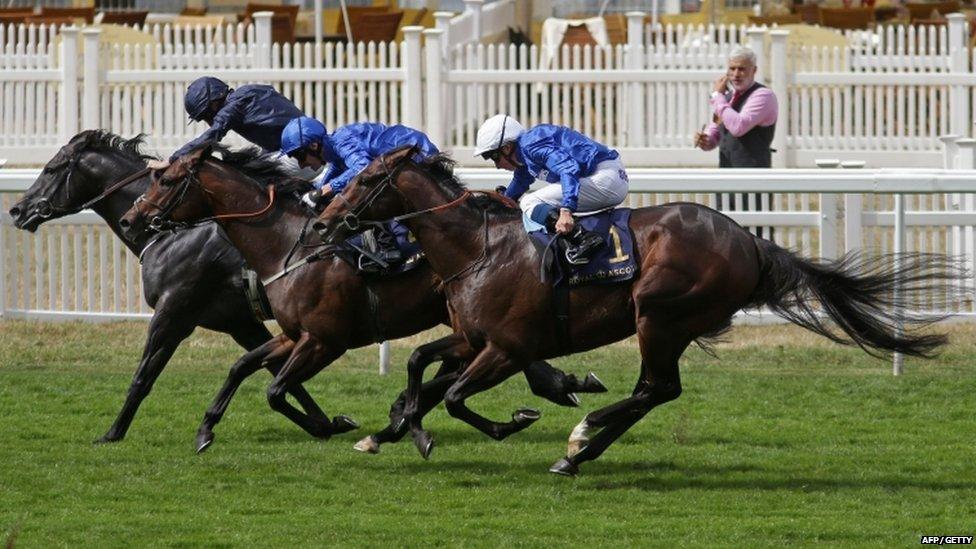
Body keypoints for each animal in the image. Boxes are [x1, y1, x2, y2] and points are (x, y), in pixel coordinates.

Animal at [310, 147, 960, 476]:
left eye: (366, 178)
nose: (320, 220)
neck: (477, 249)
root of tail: (751, 242)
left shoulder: (509, 348)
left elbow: (452, 396)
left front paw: (509, 421)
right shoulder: (473, 338)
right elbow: (419, 364)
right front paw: (394, 430)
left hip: (660, 314)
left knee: (656, 387)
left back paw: (580, 441)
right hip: (668, 321)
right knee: (655, 390)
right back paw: (579, 452)